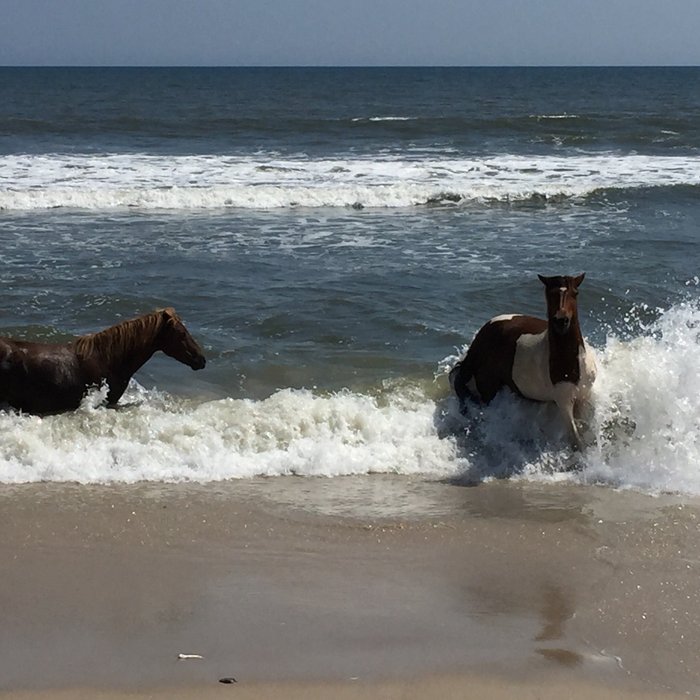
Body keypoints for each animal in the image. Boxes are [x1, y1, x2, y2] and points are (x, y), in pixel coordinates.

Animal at [448, 274, 596, 448]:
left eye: (575, 293)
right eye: (549, 294)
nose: (561, 321)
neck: (571, 363)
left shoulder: (583, 397)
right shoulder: (564, 402)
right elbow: (577, 441)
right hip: (487, 388)